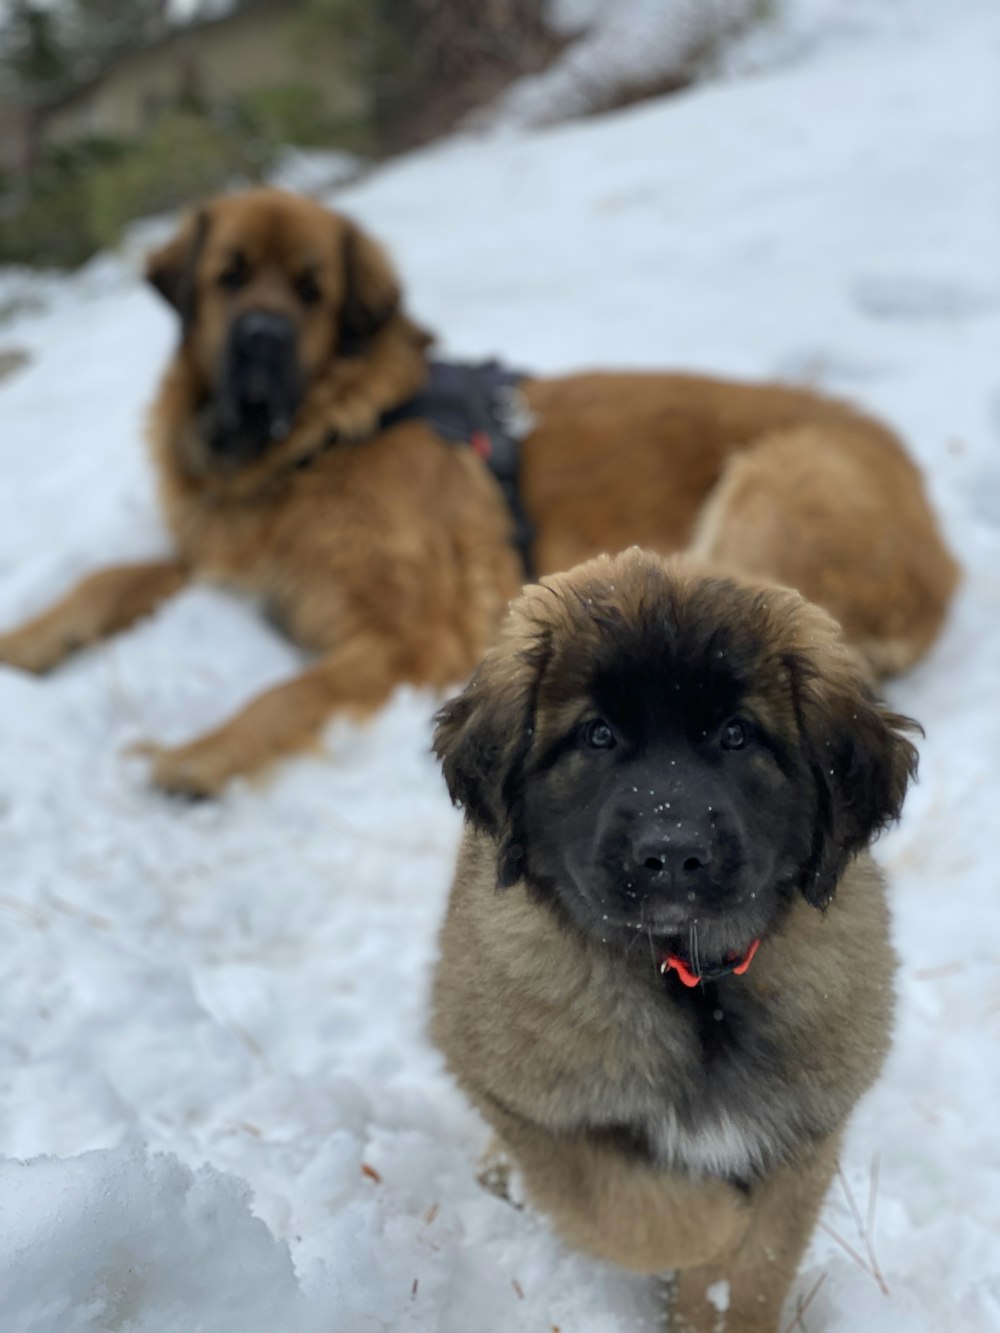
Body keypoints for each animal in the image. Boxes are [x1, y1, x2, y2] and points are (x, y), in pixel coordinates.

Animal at [0, 186, 960, 789]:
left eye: (312, 291)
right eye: (228, 276)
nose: (262, 336)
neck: (308, 443)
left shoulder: (407, 635)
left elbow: (288, 691)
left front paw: (197, 755)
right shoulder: (223, 556)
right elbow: (109, 578)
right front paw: (26, 644)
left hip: (764, 487)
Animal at [434, 543, 922, 1333]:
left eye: (736, 734)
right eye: (598, 734)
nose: (671, 852)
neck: (696, 979)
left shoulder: (805, 1134)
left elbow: (753, 1270)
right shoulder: (521, 1099)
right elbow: (639, 1207)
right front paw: (715, 1223)